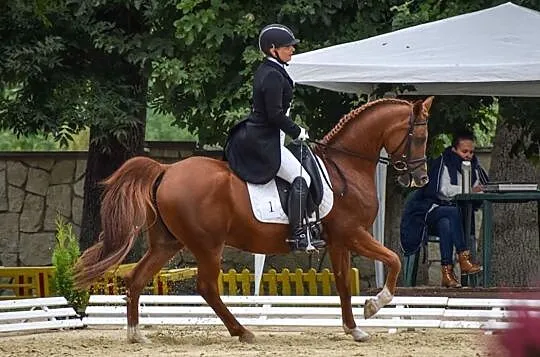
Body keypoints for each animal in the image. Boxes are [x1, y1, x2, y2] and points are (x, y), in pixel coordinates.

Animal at [74, 96, 432, 342]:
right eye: (419, 137)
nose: (421, 179)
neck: (346, 169)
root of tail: (166, 170)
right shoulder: (353, 233)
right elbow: (393, 259)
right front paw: (374, 305)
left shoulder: (339, 241)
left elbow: (344, 283)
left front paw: (353, 329)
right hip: (207, 245)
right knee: (206, 286)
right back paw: (242, 331)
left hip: (167, 243)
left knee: (136, 278)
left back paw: (136, 333)